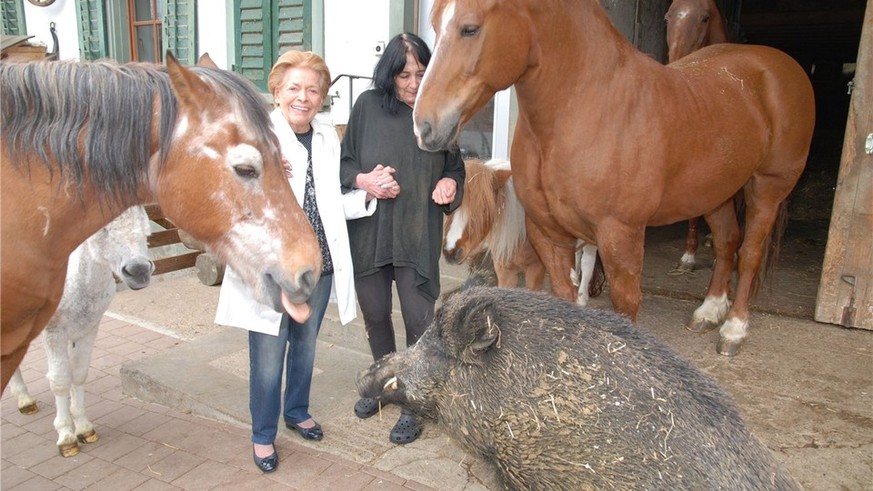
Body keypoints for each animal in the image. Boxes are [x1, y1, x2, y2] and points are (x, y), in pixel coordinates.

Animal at [7, 207, 154, 458]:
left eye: (145, 225)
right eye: (103, 228)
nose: (139, 271)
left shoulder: (88, 328)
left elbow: (79, 374)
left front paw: (85, 429)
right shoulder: (54, 332)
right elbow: (59, 381)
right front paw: (66, 438)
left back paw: (25, 400)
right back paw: (25, 401)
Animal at [442, 160, 600, 306]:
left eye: (484, 209)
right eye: (449, 204)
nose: (451, 252)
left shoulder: (535, 269)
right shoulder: (504, 270)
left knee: (587, 263)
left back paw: (581, 298)